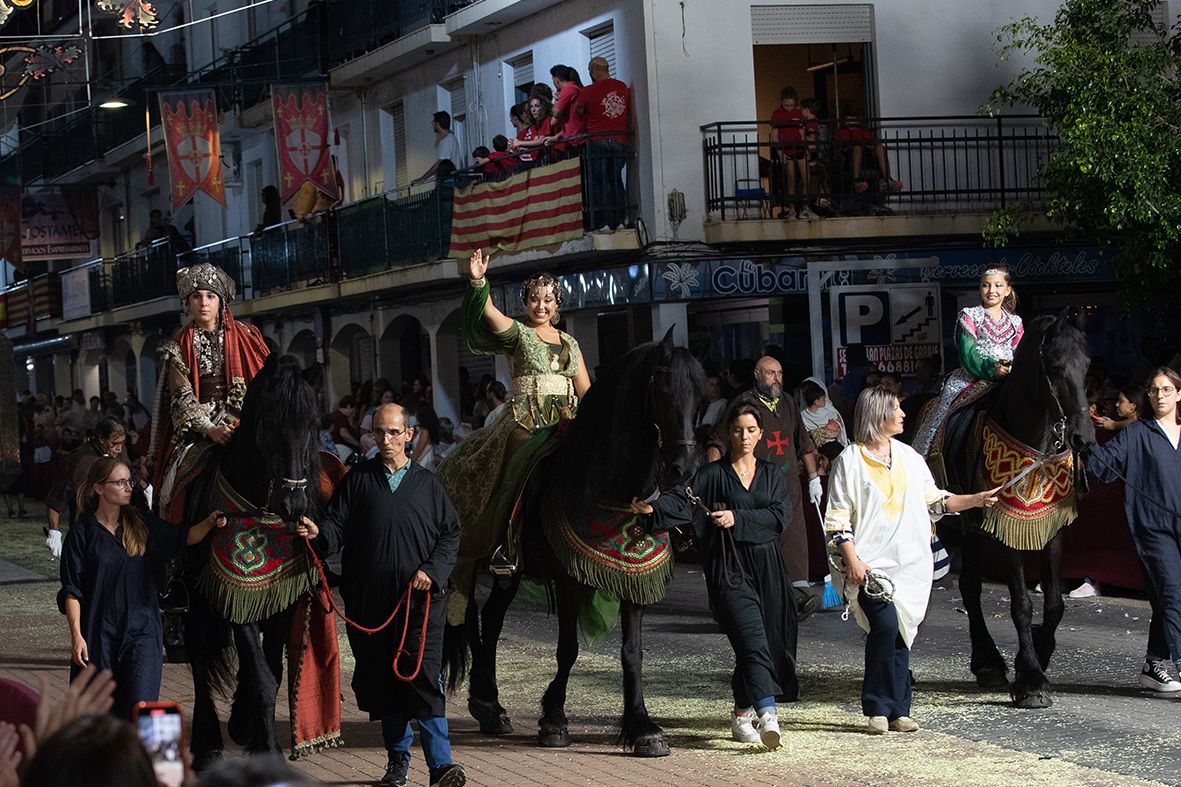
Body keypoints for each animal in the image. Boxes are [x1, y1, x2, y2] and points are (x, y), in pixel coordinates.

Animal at [178, 352, 323, 761]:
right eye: (271, 422)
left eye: (312, 424)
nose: (294, 503)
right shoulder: (232, 592)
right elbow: (261, 674)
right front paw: (267, 747)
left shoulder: (279, 599)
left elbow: (270, 666)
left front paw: (247, 726)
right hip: (194, 593)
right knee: (198, 649)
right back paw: (205, 739)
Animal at [444, 330, 699, 756]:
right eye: (662, 389)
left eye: (699, 391)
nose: (683, 468)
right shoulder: (567, 579)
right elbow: (567, 649)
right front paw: (554, 719)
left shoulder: (635, 581)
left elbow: (633, 653)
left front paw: (642, 727)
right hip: (475, 558)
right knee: (472, 616)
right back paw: (487, 701)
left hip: (509, 572)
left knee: (492, 618)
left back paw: (489, 703)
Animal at [940, 309, 1095, 709]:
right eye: (1053, 366)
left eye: (1087, 365)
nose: (1084, 438)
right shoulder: (1006, 529)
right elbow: (1021, 603)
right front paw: (1030, 680)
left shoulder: (1052, 529)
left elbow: (1054, 603)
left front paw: (1042, 651)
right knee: (968, 589)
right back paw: (987, 662)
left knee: (969, 586)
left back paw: (987, 663)